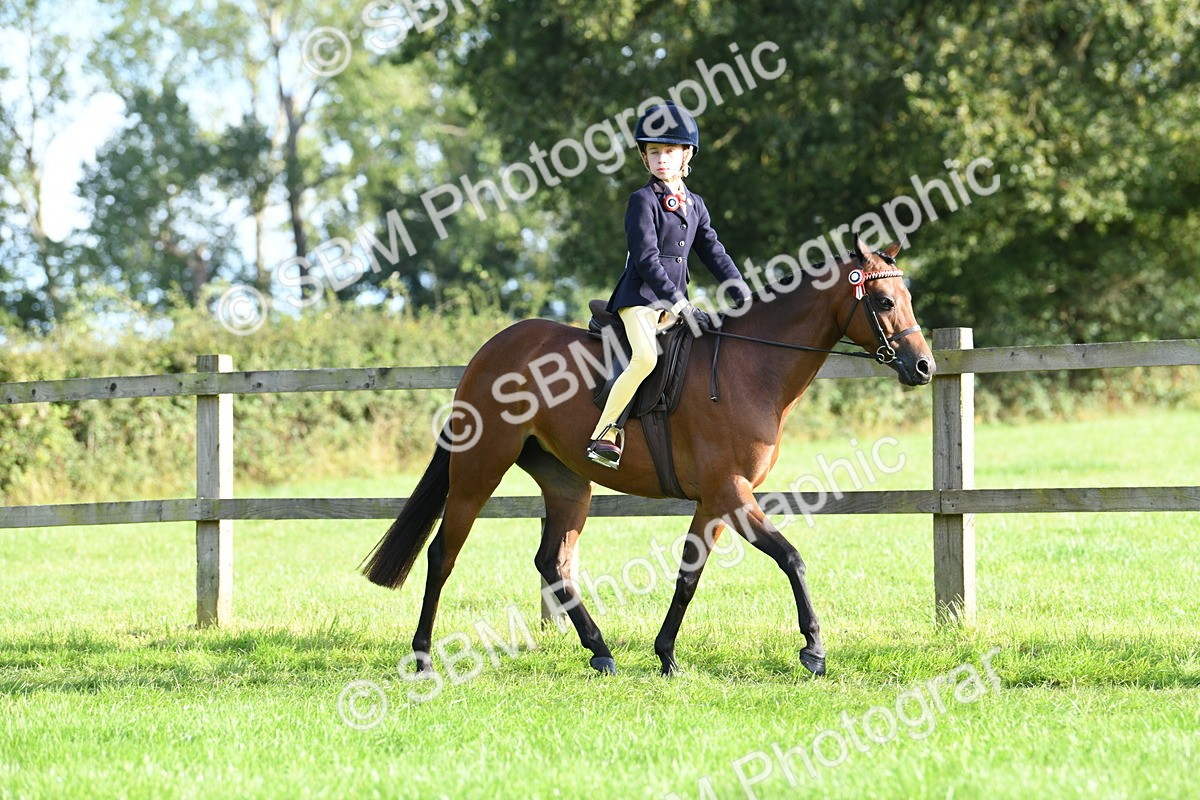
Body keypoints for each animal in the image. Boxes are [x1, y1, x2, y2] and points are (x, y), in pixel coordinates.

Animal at [362, 237, 935, 677]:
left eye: (907, 295)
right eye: (883, 301)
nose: (923, 366)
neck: (751, 365)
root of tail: (489, 350)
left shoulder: (715, 500)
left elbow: (688, 576)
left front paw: (666, 655)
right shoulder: (731, 493)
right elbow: (791, 558)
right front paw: (814, 650)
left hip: (568, 483)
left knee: (553, 561)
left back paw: (600, 651)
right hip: (479, 470)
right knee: (443, 555)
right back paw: (424, 658)